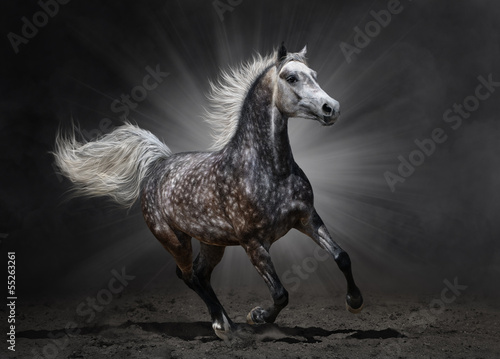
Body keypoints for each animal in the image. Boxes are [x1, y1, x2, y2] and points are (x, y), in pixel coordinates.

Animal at [54, 43, 364, 342]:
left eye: (314, 74)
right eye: (291, 78)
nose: (331, 108)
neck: (271, 171)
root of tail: (158, 165)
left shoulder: (307, 219)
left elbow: (342, 256)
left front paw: (355, 302)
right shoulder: (253, 243)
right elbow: (280, 294)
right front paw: (257, 317)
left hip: (212, 243)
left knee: (200, 275)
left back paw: (224, 322)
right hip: (175, 240)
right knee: (188, 276)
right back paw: (224, 326)